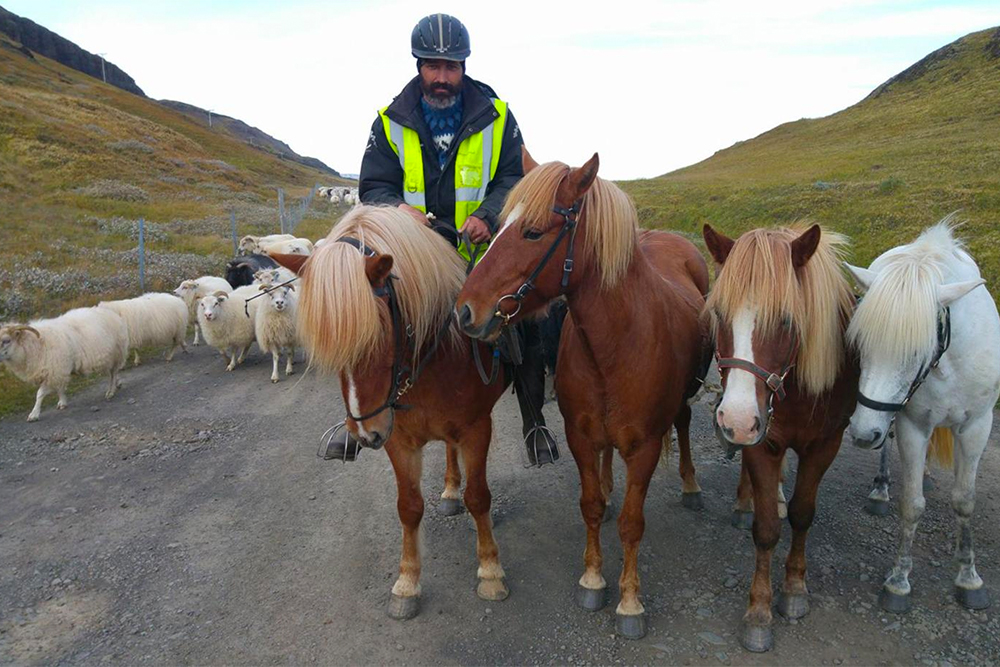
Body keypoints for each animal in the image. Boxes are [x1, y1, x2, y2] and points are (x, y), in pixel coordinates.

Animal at [0, 308, 129, 422]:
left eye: (6, 340)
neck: (36, 345)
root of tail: (112, 313)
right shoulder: (59, 370)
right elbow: (60, 388)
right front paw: (62, 402)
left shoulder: (55, 370)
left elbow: (39, 394)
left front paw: (34, 414)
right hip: (106, 359)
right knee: (111, 374)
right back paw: (115, 385)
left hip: (116, 354)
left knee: (113, 374)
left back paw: (111, 392)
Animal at [454, 153, 712, 640]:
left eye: (533, 232)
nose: (463, 311)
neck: (619, 342)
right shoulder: (579, 435)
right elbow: (590, 506)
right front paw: (592, 579)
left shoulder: (646, 447)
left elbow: (632, 524)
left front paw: (630, 603)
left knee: (684, 423)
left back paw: (690, 485)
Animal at [704, 223, 860, 652]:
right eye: (719, 314)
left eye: (788, 321)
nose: (736, 420)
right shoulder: (764, 445)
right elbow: (767, 529)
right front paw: (758, 611)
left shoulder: (825, 445)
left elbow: (802, 514)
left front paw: (793, 588)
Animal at [844, 220, 1000, 616]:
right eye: (861, 346)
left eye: (917, 351)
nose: (863, 434)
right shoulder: (912, 425)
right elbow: (911, 505)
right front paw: (899, 581)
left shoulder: (977, 426)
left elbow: (965, 500)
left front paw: (968, 577)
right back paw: (881, 487)